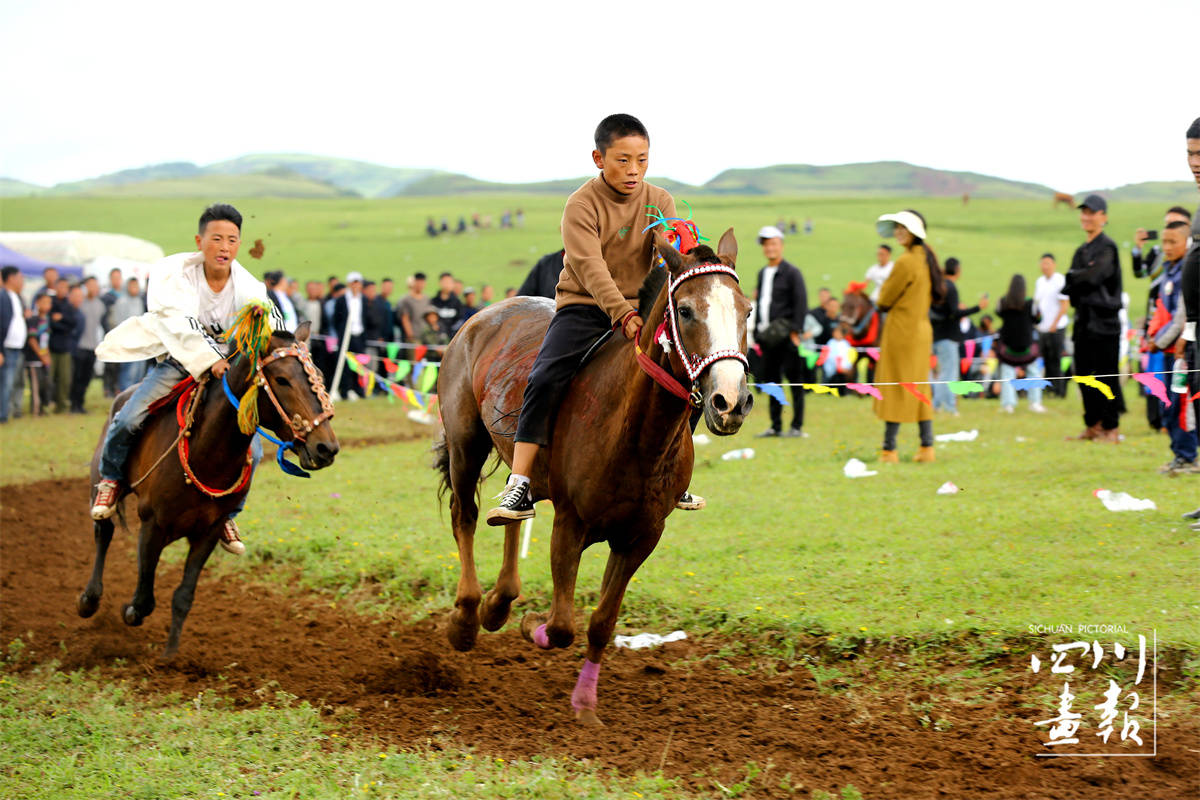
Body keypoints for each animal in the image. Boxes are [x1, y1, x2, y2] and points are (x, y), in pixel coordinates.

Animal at [78, 316, 338, 657]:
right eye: (282, 380)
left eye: (319, 376)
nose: (326, 448)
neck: (205, 451)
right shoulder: (152, 524)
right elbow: (145, 597)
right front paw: (129, 611)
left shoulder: (209, 531)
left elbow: (183, 597)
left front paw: (170, 658)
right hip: (100, 479)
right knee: (103, 531)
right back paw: (89, 598)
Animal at [432, 227, 748, 724]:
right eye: (685, 310)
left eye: (747, 310)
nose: (730, 401)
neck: (635, 432)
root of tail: (480, 318)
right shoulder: (571, 524)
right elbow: (562, 624)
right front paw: (531, 626)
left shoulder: (641, 536)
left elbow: (602, 622)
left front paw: (584, 704)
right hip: (465, 443)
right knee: (464, 515)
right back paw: (466, 617)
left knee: (511, 512)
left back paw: (499, 603)